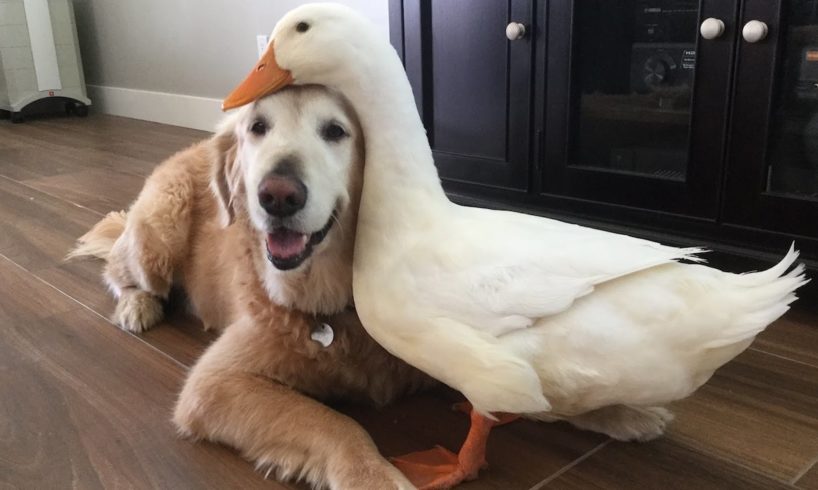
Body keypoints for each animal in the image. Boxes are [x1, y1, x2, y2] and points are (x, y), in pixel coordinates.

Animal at [70, 86, 434, 488]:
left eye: (335, 131)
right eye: (258, 127)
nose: (277, 196)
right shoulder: (214, 383)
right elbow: (336, 423)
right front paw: (373, 476)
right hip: (158, 236)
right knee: (118, 270)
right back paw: (137, 306)